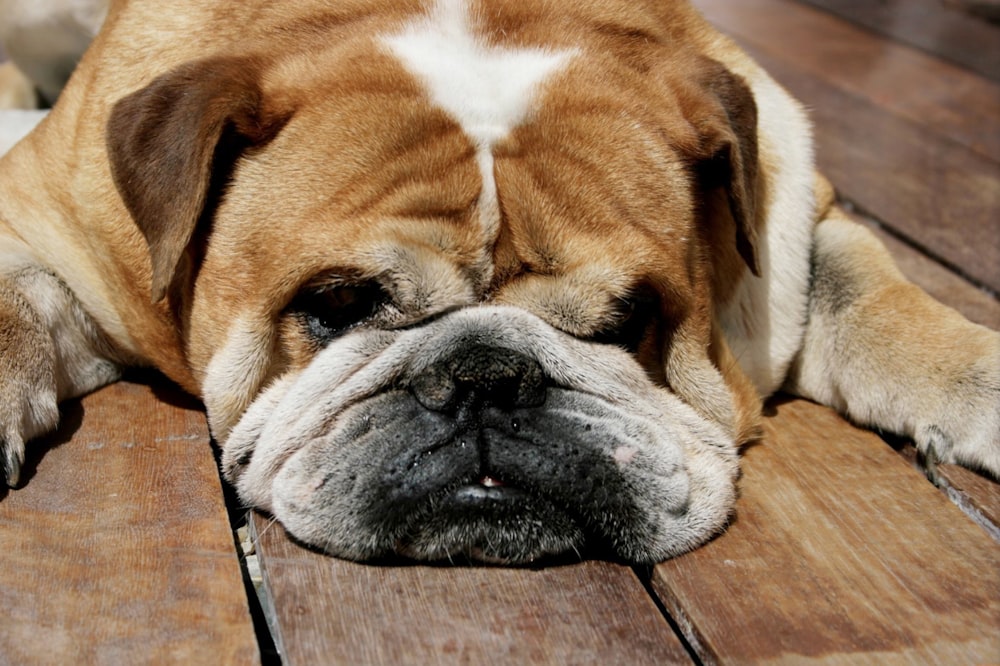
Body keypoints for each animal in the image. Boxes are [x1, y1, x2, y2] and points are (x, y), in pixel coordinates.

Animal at [1, 0, 1000, 560]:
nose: (485, 377)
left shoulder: (800, 224)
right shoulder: (42, 219)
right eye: (337, 304)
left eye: (630, 317)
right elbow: (15, 302)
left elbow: (879, 301)